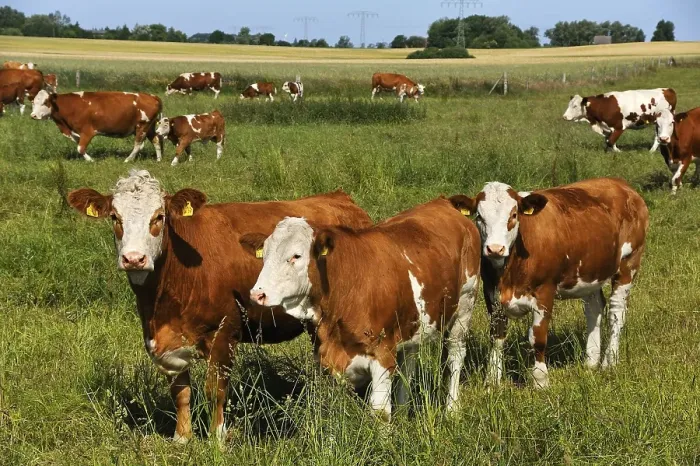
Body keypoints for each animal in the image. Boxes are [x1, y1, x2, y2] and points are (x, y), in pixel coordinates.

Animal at [31, 90, 163, 163]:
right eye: (33, 103)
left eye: (45, 102)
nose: (33, 115)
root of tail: (152, 96)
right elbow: (79, 146)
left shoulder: (87, 131)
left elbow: (80, 148)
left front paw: (91, 160)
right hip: (149, 128)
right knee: (155, 140)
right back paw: (158, 159)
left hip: (142, 126)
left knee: (137, 145)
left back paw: (128, 159)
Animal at [66, 169, 373, 443]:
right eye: (114, 217)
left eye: (159, 217)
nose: (134, 259)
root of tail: (339, 198)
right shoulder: (165, 340)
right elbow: (180, 392)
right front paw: (182, 437)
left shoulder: (225, 331)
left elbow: (215, 390)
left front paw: (217, 437)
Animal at [248, 198, 481, 420]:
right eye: (264, 254)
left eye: (296, 256)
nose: (257, 294)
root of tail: (444, 202)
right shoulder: (326, 360)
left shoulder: (382, 356)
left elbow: (380, 413)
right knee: (409, 362)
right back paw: (403, 412)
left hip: (464, 307)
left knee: (455, 356)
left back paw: (451, 410)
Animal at [452, 178, 648, 389]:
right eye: (479, 216)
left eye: (513, 215)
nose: (495, 248)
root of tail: (620, 183)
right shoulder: (492, 294)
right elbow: (497, 336)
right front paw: (492, 381)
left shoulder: (545, 291)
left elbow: (537, 338)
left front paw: (540, 380)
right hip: (590, 271)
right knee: (594, 309)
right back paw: (591, 361)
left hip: (629, 263)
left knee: (616, 313)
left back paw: (609, 362)